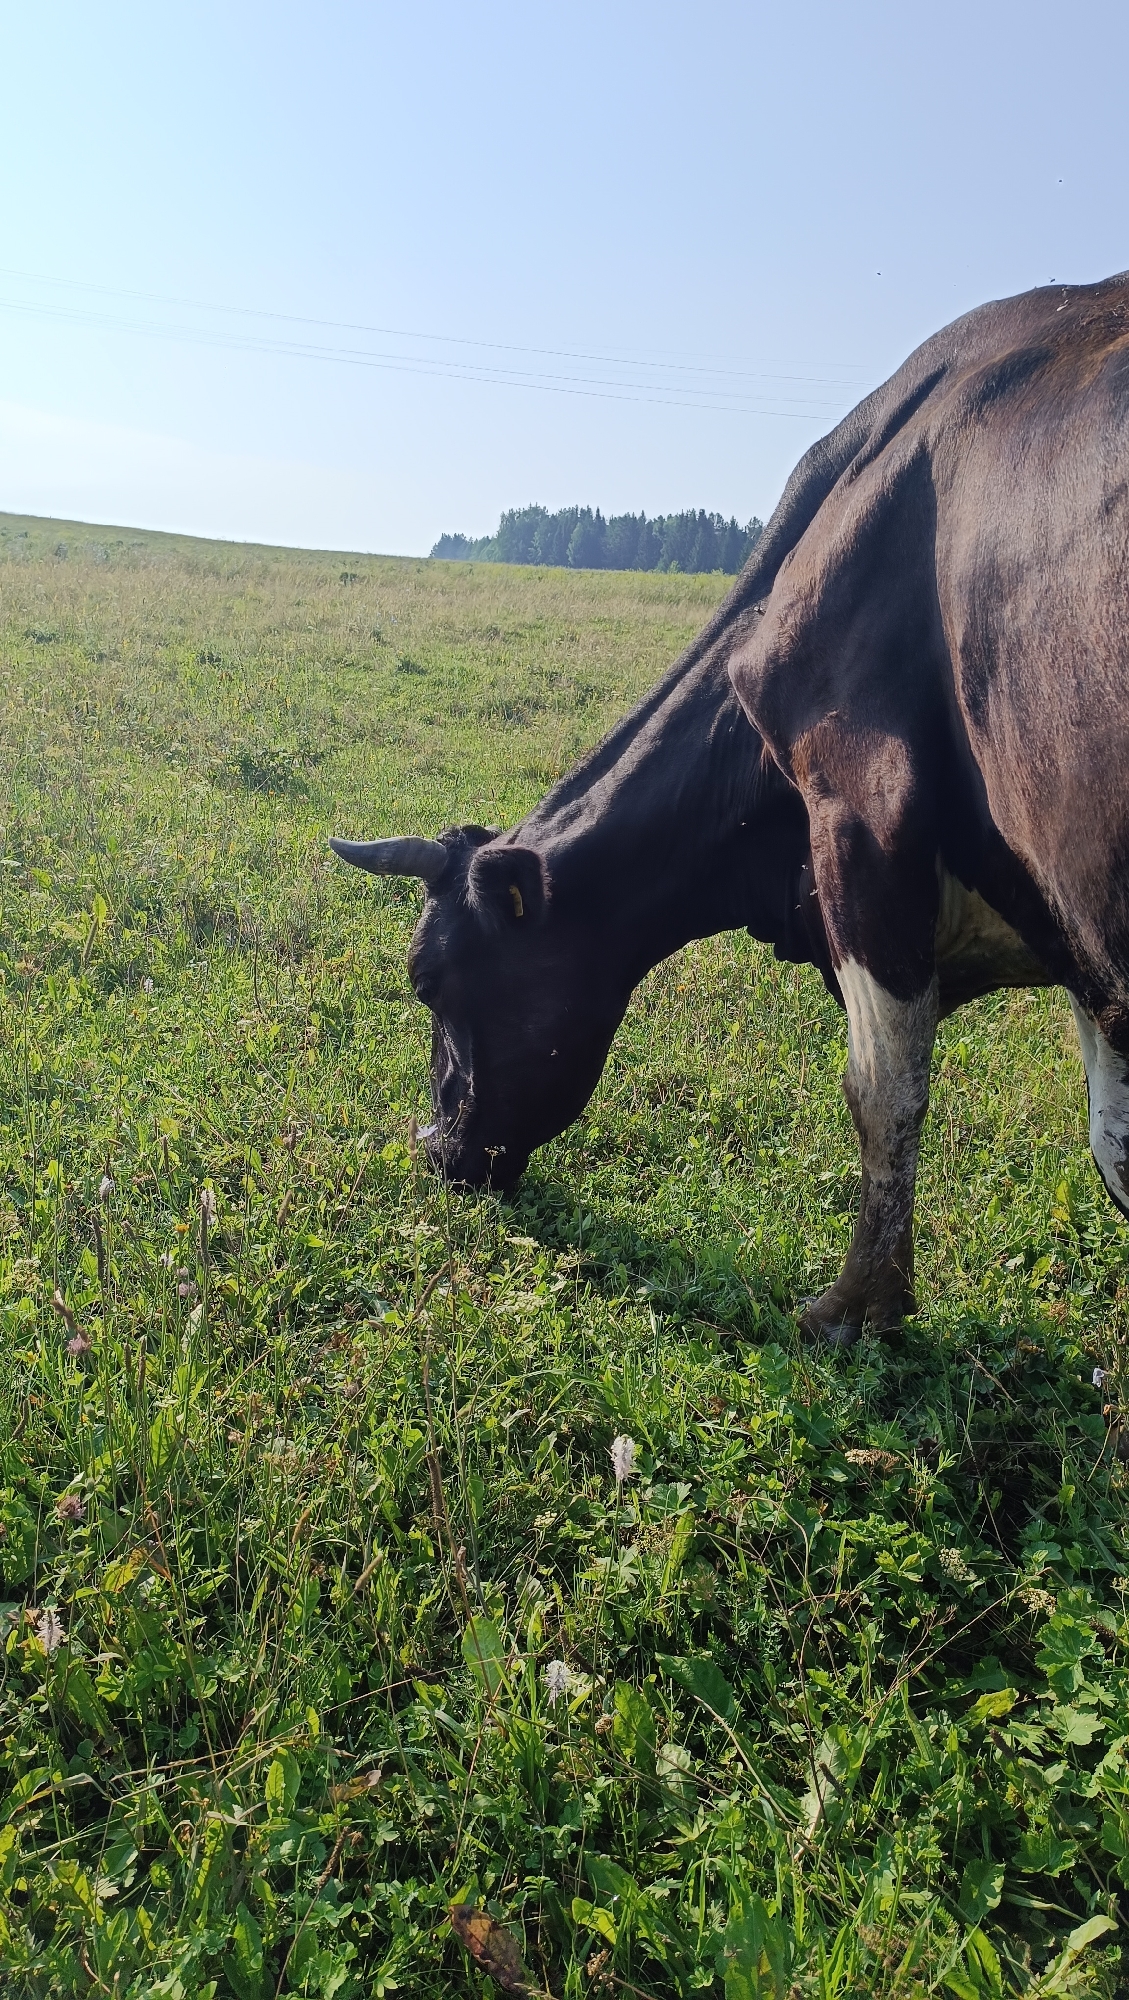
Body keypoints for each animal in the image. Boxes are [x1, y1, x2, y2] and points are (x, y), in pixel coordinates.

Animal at [332, 272, 1129, 1344]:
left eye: (427, 981)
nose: (435, 1151)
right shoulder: (1073, 929)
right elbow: (1110, 1144)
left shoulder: (862, 818)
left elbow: (882, 1092)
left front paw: (855, 1307)